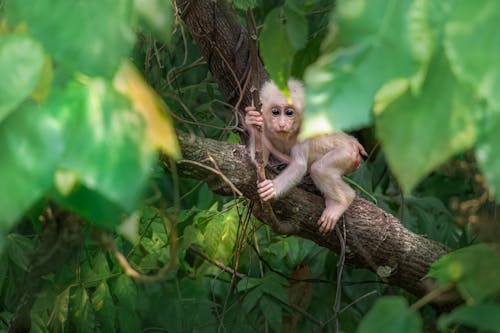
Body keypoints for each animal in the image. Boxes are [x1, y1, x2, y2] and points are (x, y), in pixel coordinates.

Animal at [246, 79, 368, 232]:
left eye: (289, 113)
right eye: (275, 112)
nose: (282, 123)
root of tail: (353, 143)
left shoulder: (304, 129)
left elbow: (299, 165)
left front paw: (272, 188)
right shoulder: (266, 128)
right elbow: (261, 160)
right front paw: (252, 119)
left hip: (347, 153)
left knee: (319, 169)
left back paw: (343, 200)